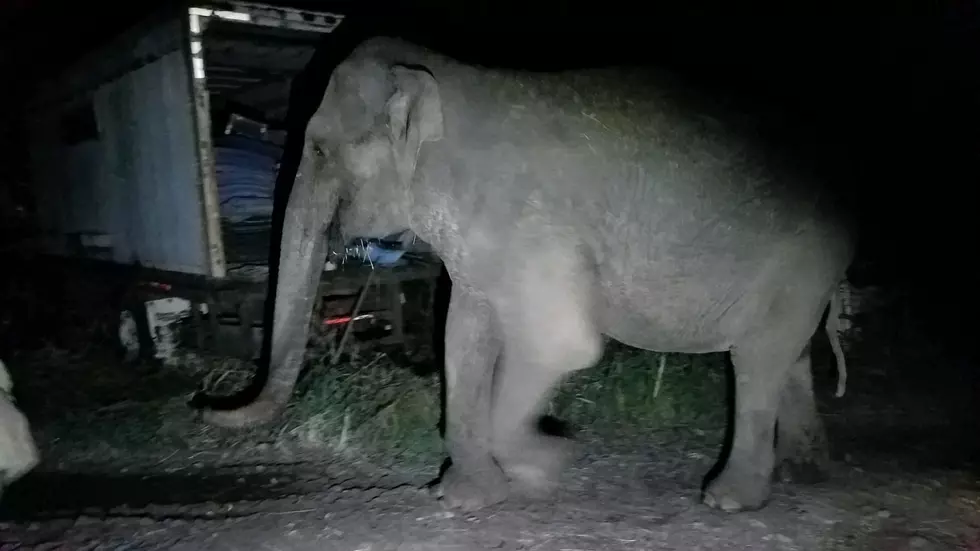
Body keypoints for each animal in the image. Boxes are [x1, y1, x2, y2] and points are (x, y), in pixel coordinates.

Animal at [203, 36, 852, 516]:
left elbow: (563, 345)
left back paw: (728, 500)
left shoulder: (531, 226)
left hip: (800, 260)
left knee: (757, 361)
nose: (208, 404)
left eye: (316, 151)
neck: (444, 82)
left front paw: (553, 456)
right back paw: (805, 473)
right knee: (786, 356)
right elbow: (461, 335)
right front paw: (464, 496)